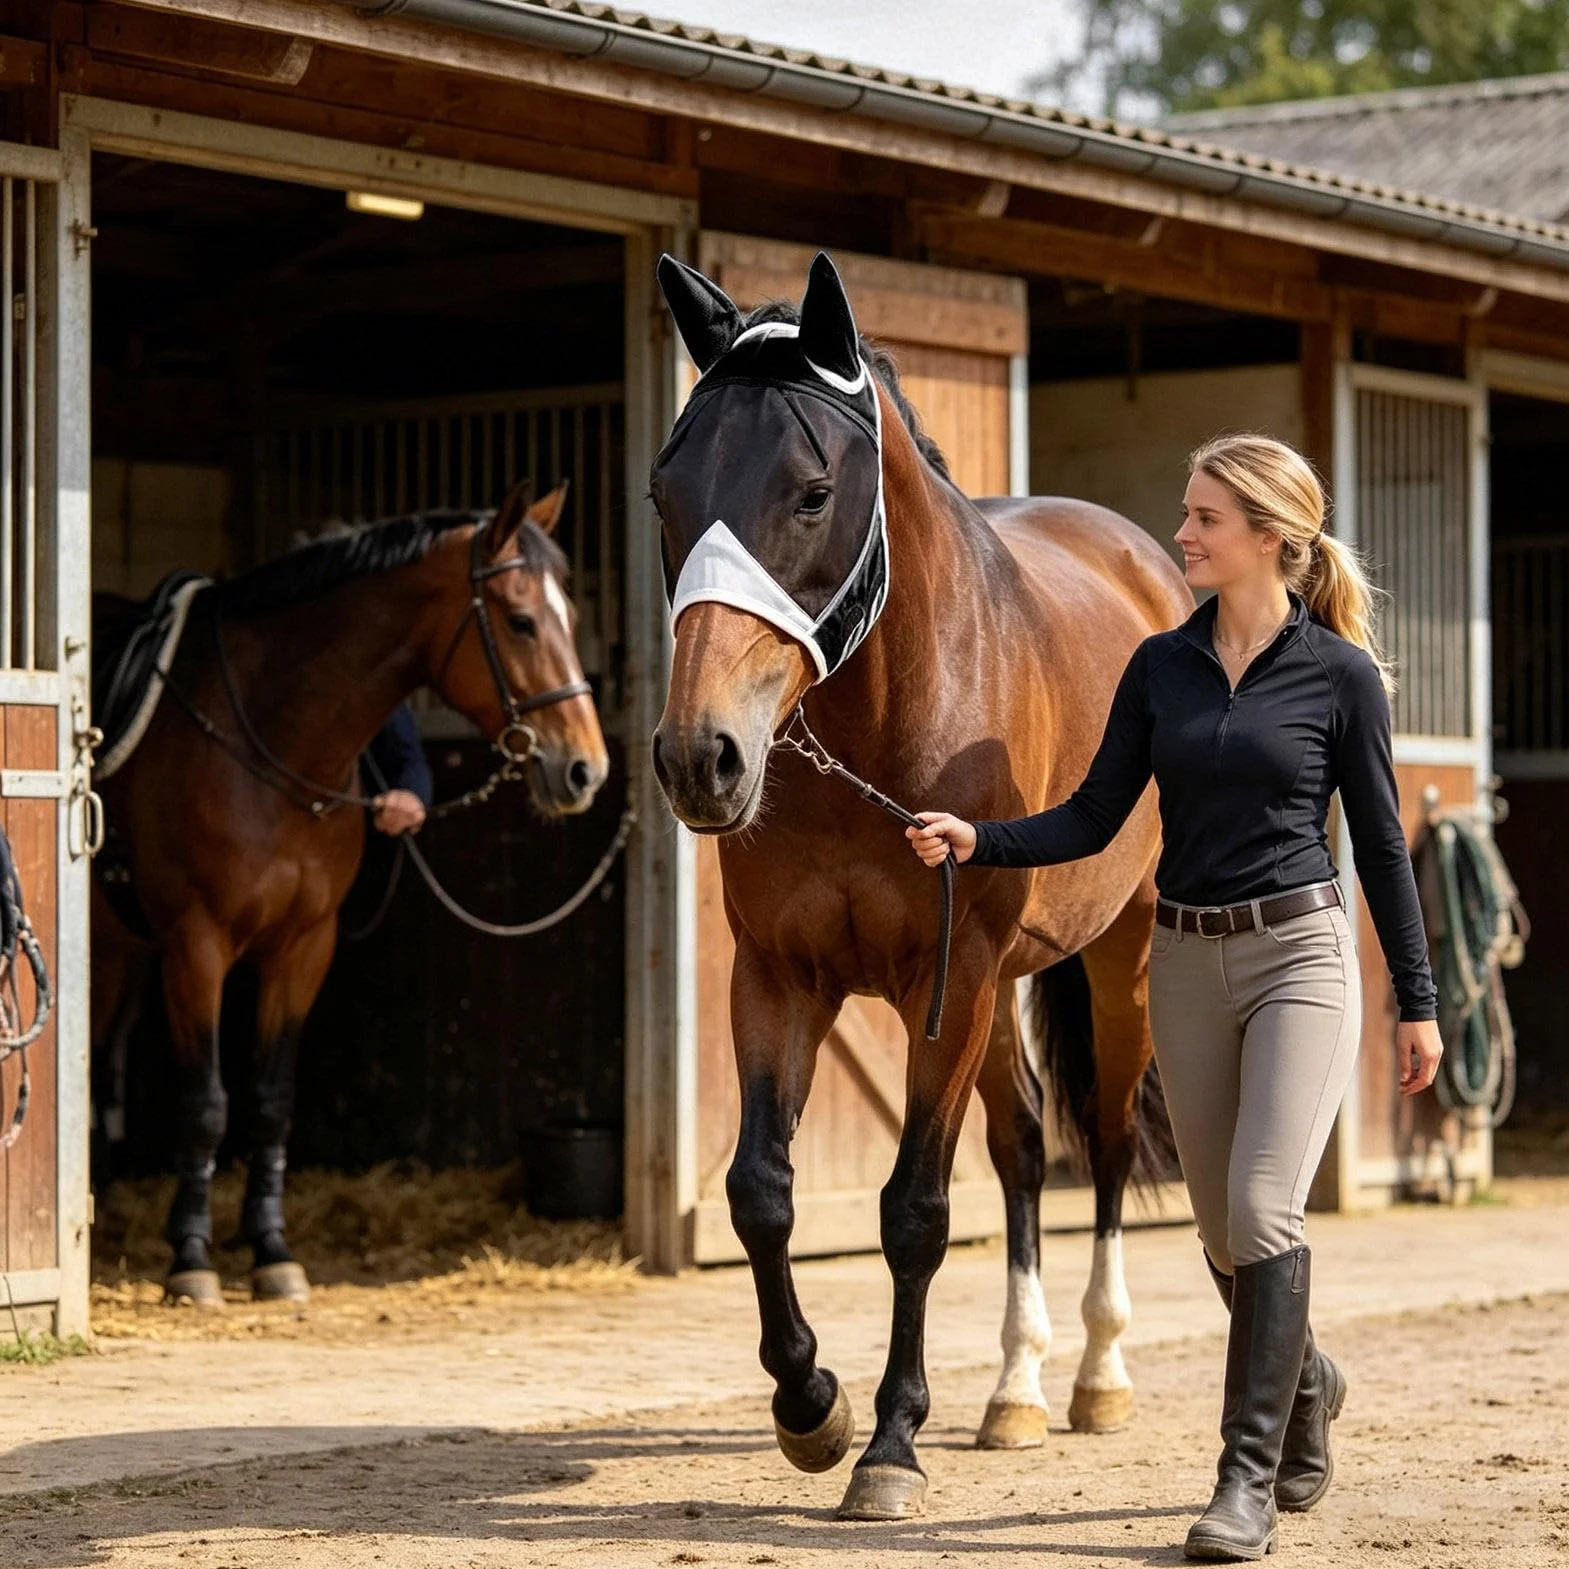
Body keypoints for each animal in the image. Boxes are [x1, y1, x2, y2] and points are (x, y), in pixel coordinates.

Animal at [91, 483, 609, 1306]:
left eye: (573, 614)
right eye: (521, 620)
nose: (585, 769)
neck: (267, 738)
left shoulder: (305, 946)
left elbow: (271, 1103)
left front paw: (272, 1252)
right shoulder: (195, 945)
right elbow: (206, 1105)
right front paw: (192, 1261)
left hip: (119, 949)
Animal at [649, 253, 1192, 1520]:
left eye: (810, 492)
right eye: (664, 495)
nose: (701, 757)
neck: (888, 722)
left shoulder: (948, 983)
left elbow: (913, 1212)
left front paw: (891, 1442)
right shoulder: (782, 980)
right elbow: (760, 1193)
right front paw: (812, 1407)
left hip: (1114, 953)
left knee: (1098, 1140)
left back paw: (1095, 1375)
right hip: (996, 995)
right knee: (1023, 1147)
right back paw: (1014, 1393)